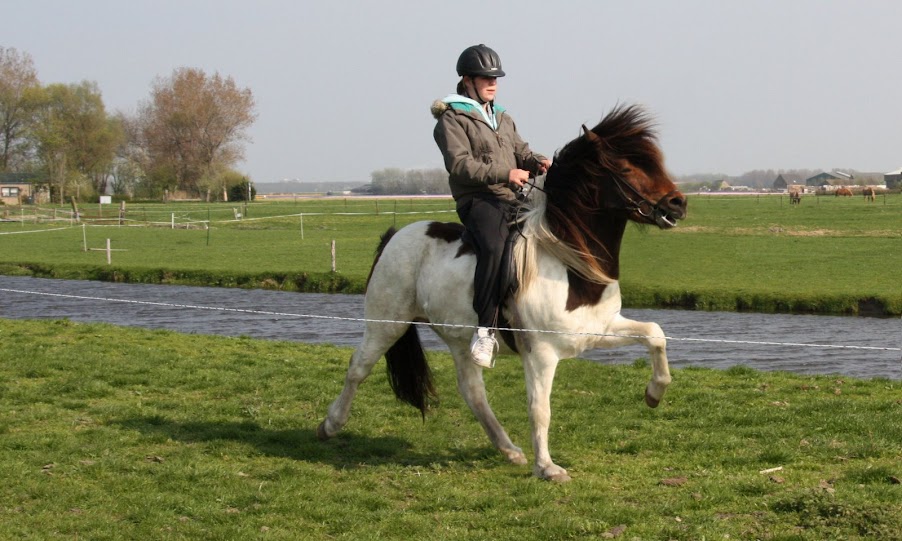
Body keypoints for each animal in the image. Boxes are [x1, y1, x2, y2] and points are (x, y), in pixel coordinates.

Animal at [320, 105, 692, 480]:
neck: (568, 261)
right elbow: (539, 408)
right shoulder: (541, 353)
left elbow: (655, 334)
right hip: (387, 324)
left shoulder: (598, 330)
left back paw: (510, 450)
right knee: (358, 367)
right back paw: (330, 425)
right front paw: (548, 468)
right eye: (627, 167)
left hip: (458, 339)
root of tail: (395, 235)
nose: (678, 204)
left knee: (472, 392)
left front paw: (654, 393)